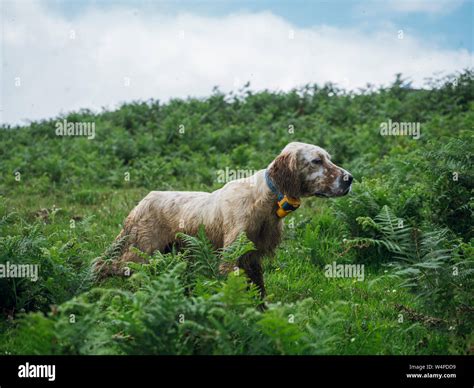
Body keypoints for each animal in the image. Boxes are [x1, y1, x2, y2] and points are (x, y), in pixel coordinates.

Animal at [95, 142, 352, 298]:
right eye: (316, 161)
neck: (264, 199)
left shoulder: (252, 258)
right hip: (140, 250)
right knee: (103, 263)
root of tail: (141, 203)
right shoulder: (230, 258)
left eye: (328, 158)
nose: (350, 178)